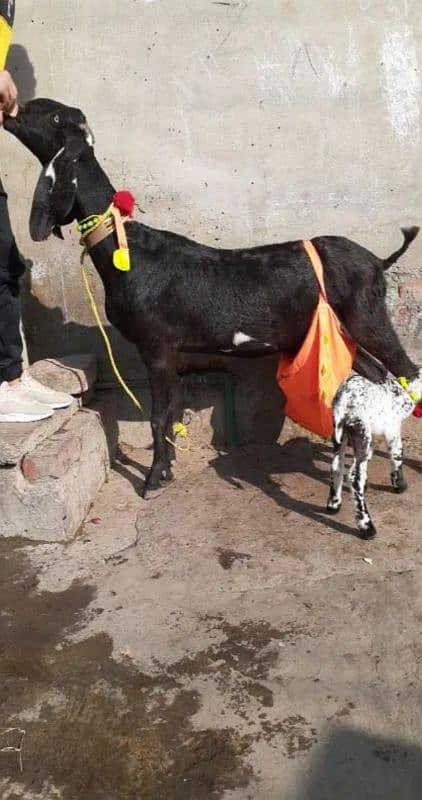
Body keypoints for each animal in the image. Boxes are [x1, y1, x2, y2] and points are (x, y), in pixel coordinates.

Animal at [4, 100, 422, 496]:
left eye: (54, 117)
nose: (11, 112)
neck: (128, 249)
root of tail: (377, 261)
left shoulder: (156, 344)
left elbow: (159, 415)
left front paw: (154, 479)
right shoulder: (171, 352)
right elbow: (171, 412)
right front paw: (167, 467)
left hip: (366, 316)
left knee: (408, 374)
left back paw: (401, 475)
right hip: (345, 330)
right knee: (381, 377)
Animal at [326, 374, 422, 536]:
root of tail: (343, 403)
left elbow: (367, 459)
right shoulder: (392, 429)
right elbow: (397, 455)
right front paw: (400, 485)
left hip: (341, 435)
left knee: (337, 467)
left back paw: (333, 504)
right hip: (361, 432)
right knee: (353, 477)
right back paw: (366, 526)